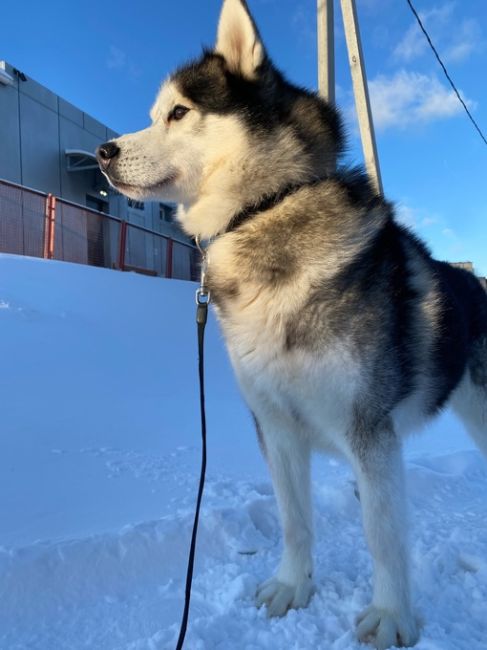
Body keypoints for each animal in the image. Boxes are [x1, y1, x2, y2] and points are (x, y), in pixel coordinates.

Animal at [96, 2, 487, 644]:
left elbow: (382, 534)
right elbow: (293, 519)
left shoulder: (370, 432)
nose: (103, 151)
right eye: (153, 116)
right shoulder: (274, 426)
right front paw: (292, 586)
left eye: (179, 112)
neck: (266, 207)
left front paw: (391, 616)